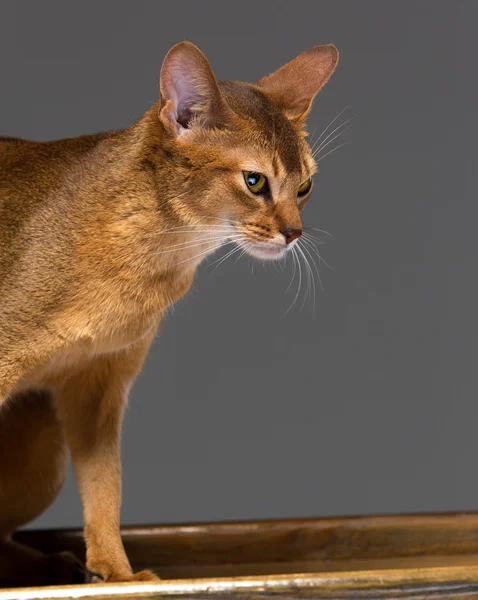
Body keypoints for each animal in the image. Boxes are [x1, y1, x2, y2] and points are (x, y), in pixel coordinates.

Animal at [0, 39, 338, 584]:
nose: (294, 233)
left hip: (43, 449)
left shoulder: (100, 387)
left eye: (305, 186)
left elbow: (106, 489)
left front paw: (117, 573)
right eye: (254, 181)